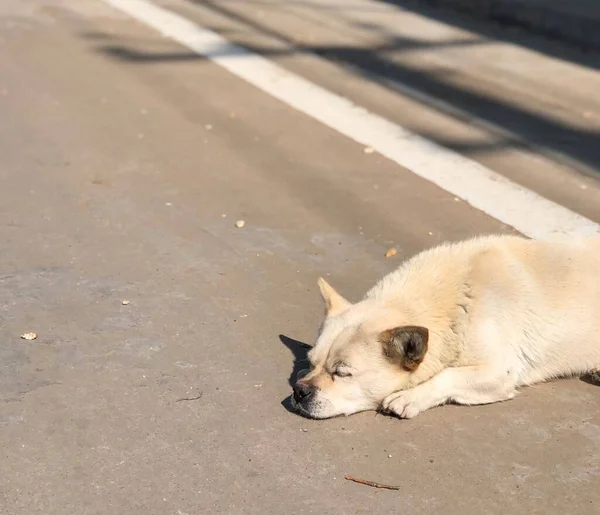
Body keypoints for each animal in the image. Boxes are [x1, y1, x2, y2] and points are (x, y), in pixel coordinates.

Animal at [292, 236, 600, 422]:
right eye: (310, 363)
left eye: (342, 373)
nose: (299, 391)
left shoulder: (499, 371)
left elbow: (447, 375)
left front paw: (410, 397)